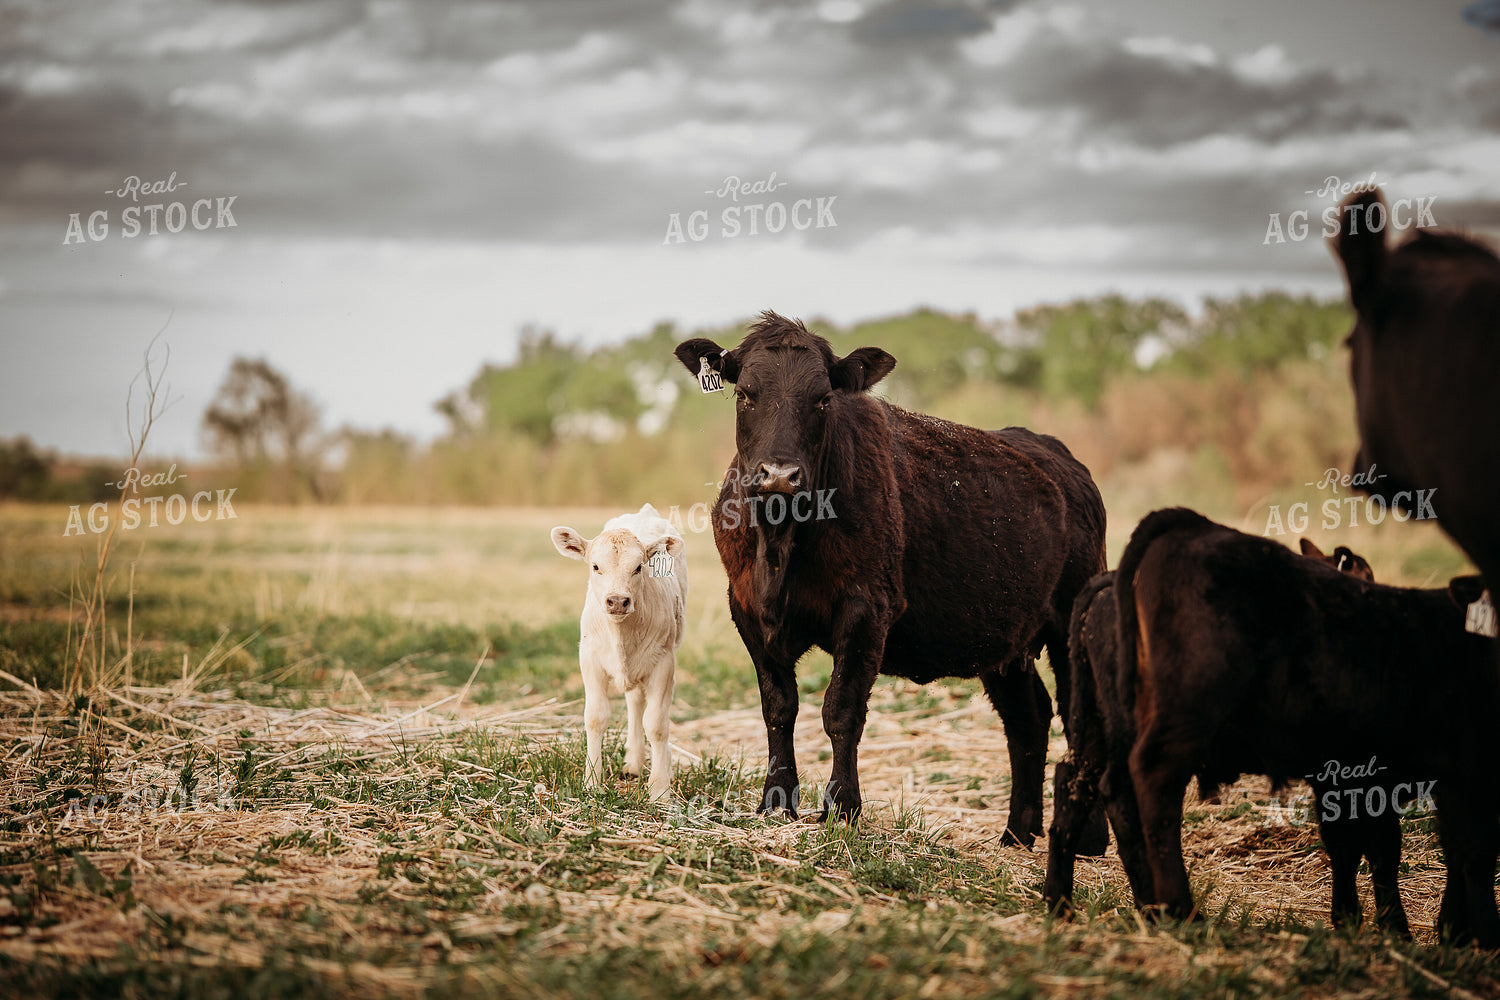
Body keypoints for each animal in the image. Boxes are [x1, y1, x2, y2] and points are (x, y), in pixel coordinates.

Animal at [551, 503, 687, 801]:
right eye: (595, 566)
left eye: (639, 567)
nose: (617, 601)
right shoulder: (589, 659)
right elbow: (595, 718)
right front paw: (592, 782)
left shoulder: (664, 663)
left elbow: (657, 724)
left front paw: (660, 789)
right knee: (634, 702)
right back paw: (633, 763)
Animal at [673, 311, 1107, 846]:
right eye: (745, 394)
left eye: (823, 398)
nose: (779, 474)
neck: (779, 545)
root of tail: (1058, 455)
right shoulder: (748, 610)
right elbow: (778, 707)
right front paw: (776, 802)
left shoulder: (867, 609)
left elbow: (841, 710)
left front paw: (841, 808)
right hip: (1005, 637)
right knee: (1028, 717)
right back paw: (1017, 834)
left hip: (1073, 621)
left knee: (1083, 717)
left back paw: (1088, 838)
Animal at [1043, 536, 1402, 934]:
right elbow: (1375, 844)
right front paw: (1385, 926)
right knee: (1125, 796)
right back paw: (1164, 910)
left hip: (1094, 726)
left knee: (1073, 785)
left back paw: (1061, 904)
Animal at [1115, 508, 1500, 945]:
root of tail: (1192, 523)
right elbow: (1433, 849)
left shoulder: (1348, 773)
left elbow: (1358, 845)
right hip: (1189, 705)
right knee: (1157, 777)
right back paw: (1181, 910)